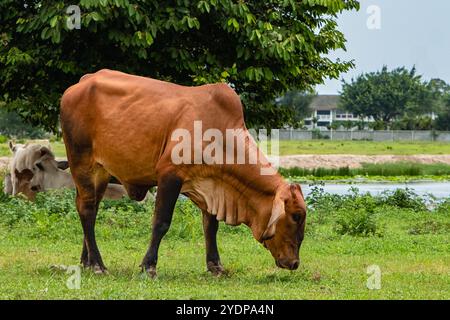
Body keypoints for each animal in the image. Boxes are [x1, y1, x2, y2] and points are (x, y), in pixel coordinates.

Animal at [59, 69, 306, 276]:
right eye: (296, 216)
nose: (294, 263)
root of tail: (83, 81)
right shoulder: (170, 175)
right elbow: (161, 222)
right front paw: (148, 266)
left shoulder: (210, 184)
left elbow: (211, 226)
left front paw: (215, 266)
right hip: (83, 164)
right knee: (87, 210)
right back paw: (97, 265)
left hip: (101, 174)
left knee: (90, 209)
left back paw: (86, 262)